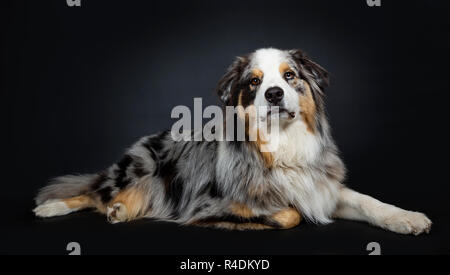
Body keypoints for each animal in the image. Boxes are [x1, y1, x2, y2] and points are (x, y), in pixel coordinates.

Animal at [33, 48, 430, 236]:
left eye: (290, 76)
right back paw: (54, 207)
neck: (282, 144)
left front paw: (407, 218)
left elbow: (368, 201)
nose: (273, 93)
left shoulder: (321, 187)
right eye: (254, 82)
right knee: (91, 193)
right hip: (138, 169)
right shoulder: (208, 203)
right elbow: (288, 213)